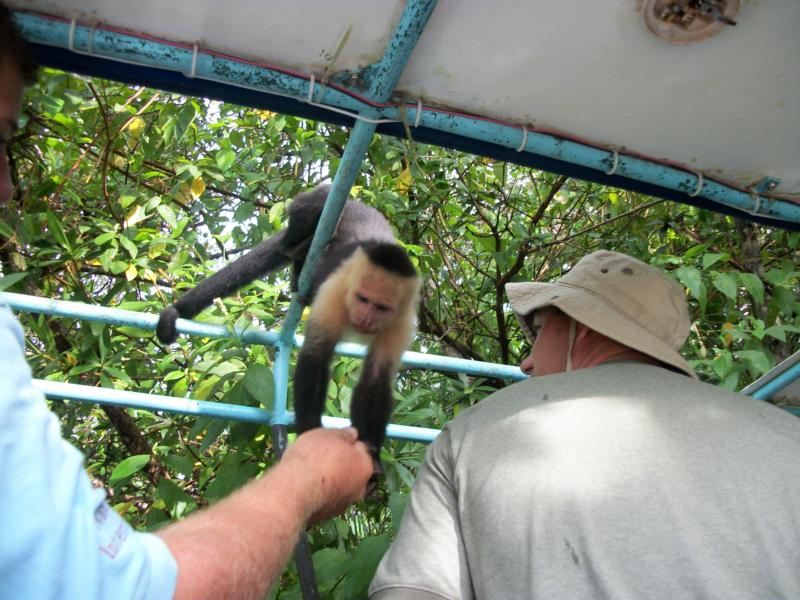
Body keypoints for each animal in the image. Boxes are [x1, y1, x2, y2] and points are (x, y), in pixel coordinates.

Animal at [155, 185, 418, 480]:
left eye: (381, 307)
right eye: (362, 298)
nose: (365, 318)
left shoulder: (402, 320)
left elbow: (376, 377)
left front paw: (371, 452)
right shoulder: (336, 293)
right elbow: (315, 358)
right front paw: (312, 438)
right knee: (316, 202)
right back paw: (296, 251)